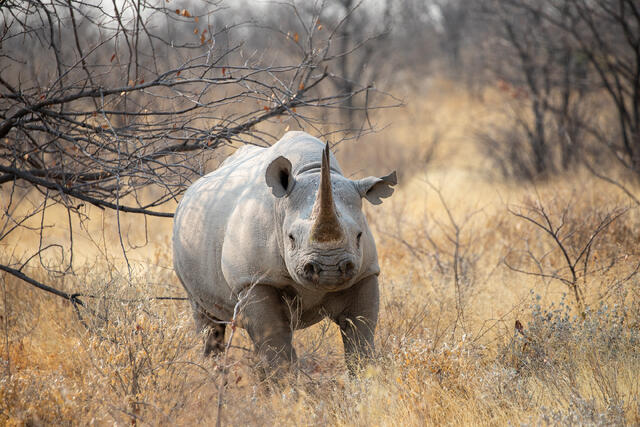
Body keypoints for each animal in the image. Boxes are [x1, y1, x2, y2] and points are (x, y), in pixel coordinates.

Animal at [172, 131, 396, 373]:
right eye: (291, 237)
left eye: (359, 236)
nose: (330, 269)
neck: (311, 170)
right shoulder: (253, 279)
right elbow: (273, 337)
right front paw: (286, 381)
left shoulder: (365, 273)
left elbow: (360, 333)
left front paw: (366, 375)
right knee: (208, 321)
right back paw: (211, 371)